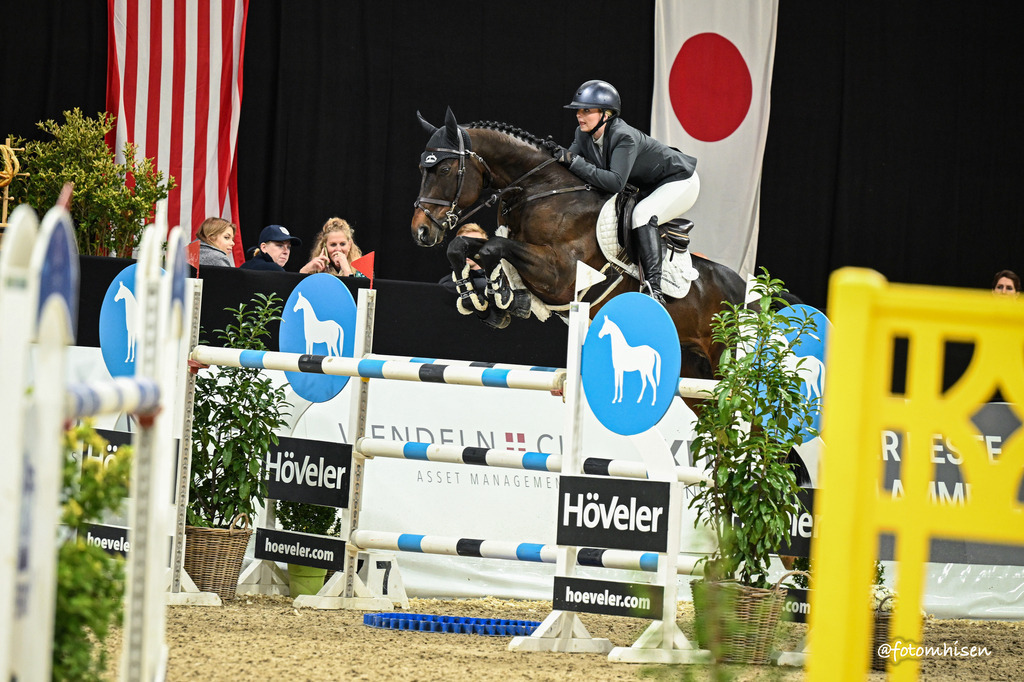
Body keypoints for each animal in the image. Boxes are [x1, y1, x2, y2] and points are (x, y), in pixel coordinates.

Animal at [410, 108, 747, 408]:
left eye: (443, 170)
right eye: (422, 169)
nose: (421, 231)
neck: (541, 190)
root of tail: (752, 291)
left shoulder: (562, 275)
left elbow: (494, 248)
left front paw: (500, 296)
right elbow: (463, 246)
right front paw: (479, 300)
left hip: (724, 366)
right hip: (694, 375)